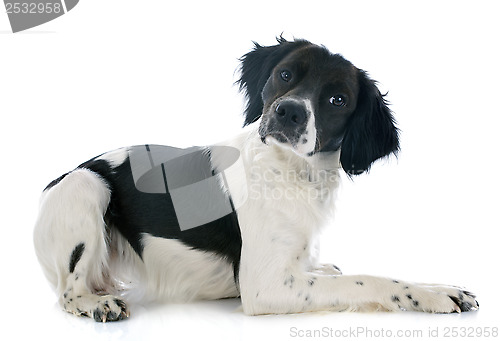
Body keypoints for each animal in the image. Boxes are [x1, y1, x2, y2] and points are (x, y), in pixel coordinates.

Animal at [33, 37, 478, 322]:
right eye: (285, 75)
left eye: (338, 100)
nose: (289, 112)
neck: (292, 172)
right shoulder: (266, 286)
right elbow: (369, 280)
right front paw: (433, 293)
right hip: (87, 186)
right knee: (67, 292)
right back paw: (95, 304)